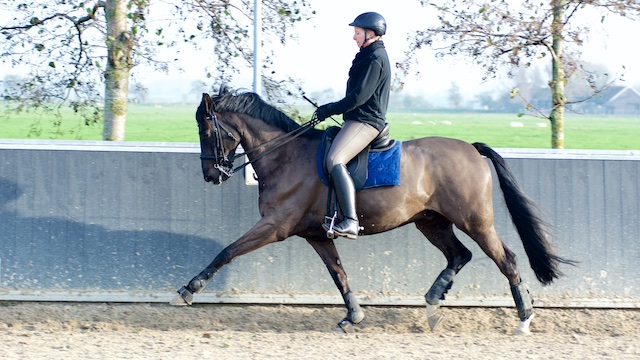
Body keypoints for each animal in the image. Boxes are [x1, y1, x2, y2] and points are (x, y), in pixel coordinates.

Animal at [171, 87, 576, 334]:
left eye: (206, 130)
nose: (211, 175)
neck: (285, 155)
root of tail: (472, 149)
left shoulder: (274, 226)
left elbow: (227, 251)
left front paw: (189, 289)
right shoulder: (316, 234)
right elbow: (339, 274)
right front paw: (353, 316)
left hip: (475, 221)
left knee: (506, 260)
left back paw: (523, 320)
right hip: (432, 222)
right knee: (459, 256)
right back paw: (433, 304)